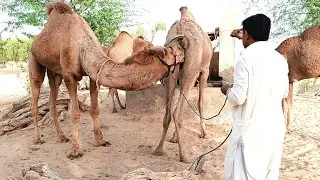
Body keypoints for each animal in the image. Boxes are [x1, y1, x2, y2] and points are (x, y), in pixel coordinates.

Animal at [30, 1, 184, 159]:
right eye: (169, 52)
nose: (182, 51)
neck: (83, 46)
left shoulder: (93, 75)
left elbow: (95, 109)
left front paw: (100, 141)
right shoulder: (69, 75)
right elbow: (75, 113)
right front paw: (75, 150)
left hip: (55, 72)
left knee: (52, 98)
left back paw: (61, 137)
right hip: (34, 58)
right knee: (35, 94)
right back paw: (38, 138)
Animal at [152, 6, 212, 162]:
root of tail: (179, 39)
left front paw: (173, 138)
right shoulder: (205, 70)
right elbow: (200, 102)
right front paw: (204, 133)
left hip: (171, 72)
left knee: (168, 112)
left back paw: (158, 150)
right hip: (192, 70)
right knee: (177, 113)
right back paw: (184, 156)